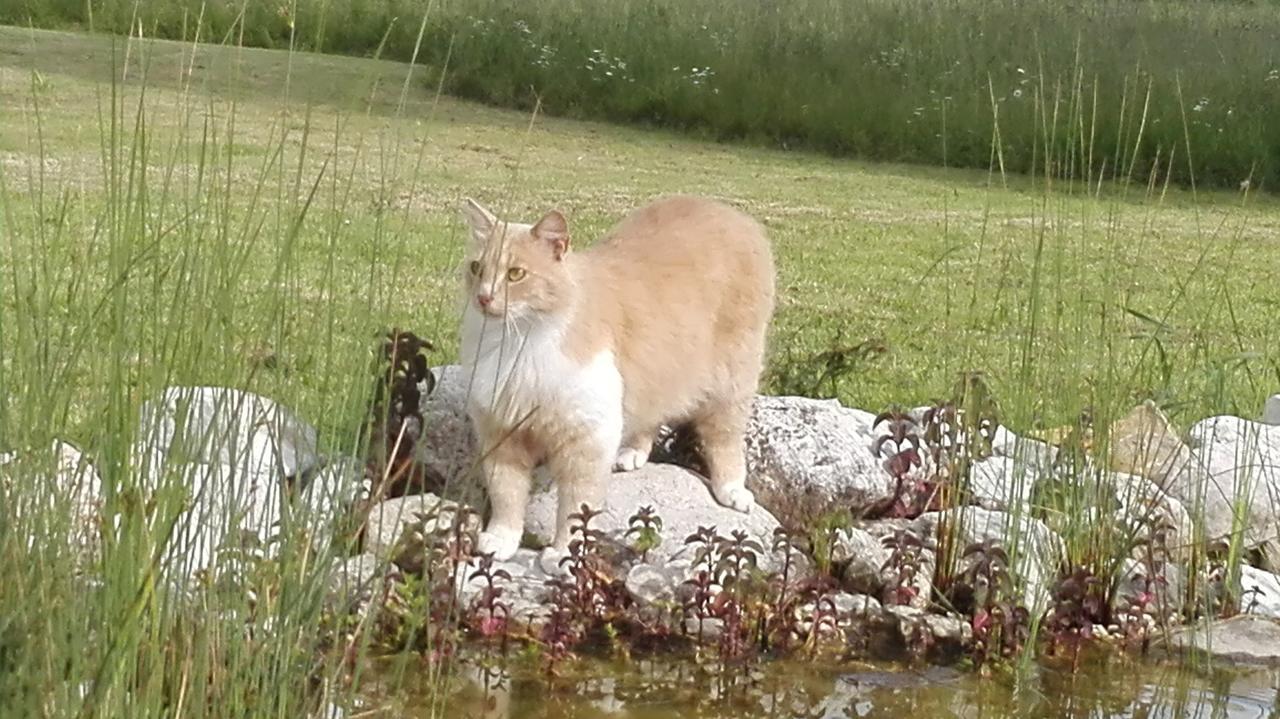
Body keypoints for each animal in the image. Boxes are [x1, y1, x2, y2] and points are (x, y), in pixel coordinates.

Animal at [458, 193, 773, 568]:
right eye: (477, 269)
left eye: (515, 274)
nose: (483, 297)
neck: (517, 343)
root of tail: (728, 212)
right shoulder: (501, 434)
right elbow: (506, 496)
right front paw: (502, 540)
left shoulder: (587, 439)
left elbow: (575, 508)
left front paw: (563, 553)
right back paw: (632, 454)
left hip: (730, 384)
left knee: (725, 440)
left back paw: (732, 490)